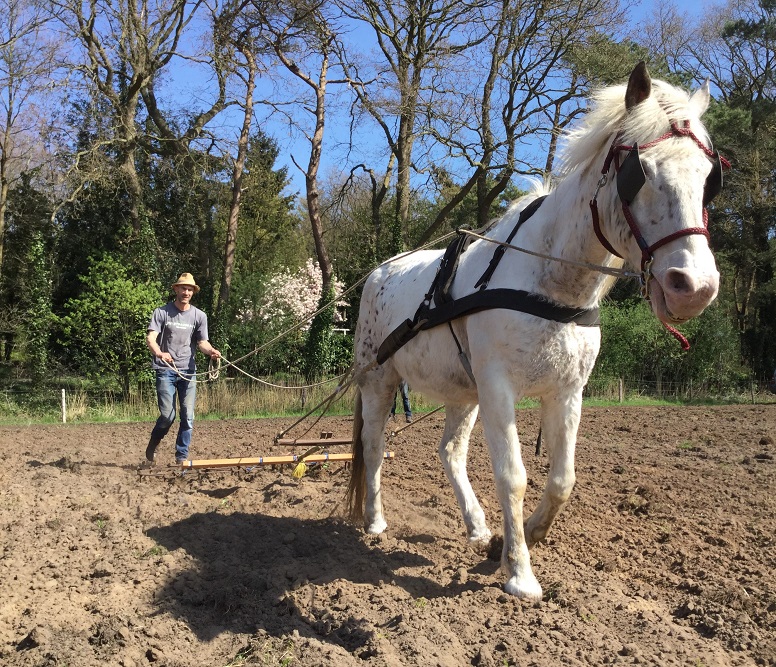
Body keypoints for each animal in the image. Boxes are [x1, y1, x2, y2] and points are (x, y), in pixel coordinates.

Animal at [346, 62, 720, 604]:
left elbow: (562, 479)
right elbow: (513, 476)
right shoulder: (499, 387)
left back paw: (477, 527)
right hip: (379, 379)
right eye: (639, 173)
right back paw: (375, 521)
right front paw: (520, 573)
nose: (694, 287)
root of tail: (378, 272)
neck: (552, 285)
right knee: (373, 446)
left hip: (464, 392)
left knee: (450, 453)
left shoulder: (566, 391)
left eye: (709, 179)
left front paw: (519, 537)